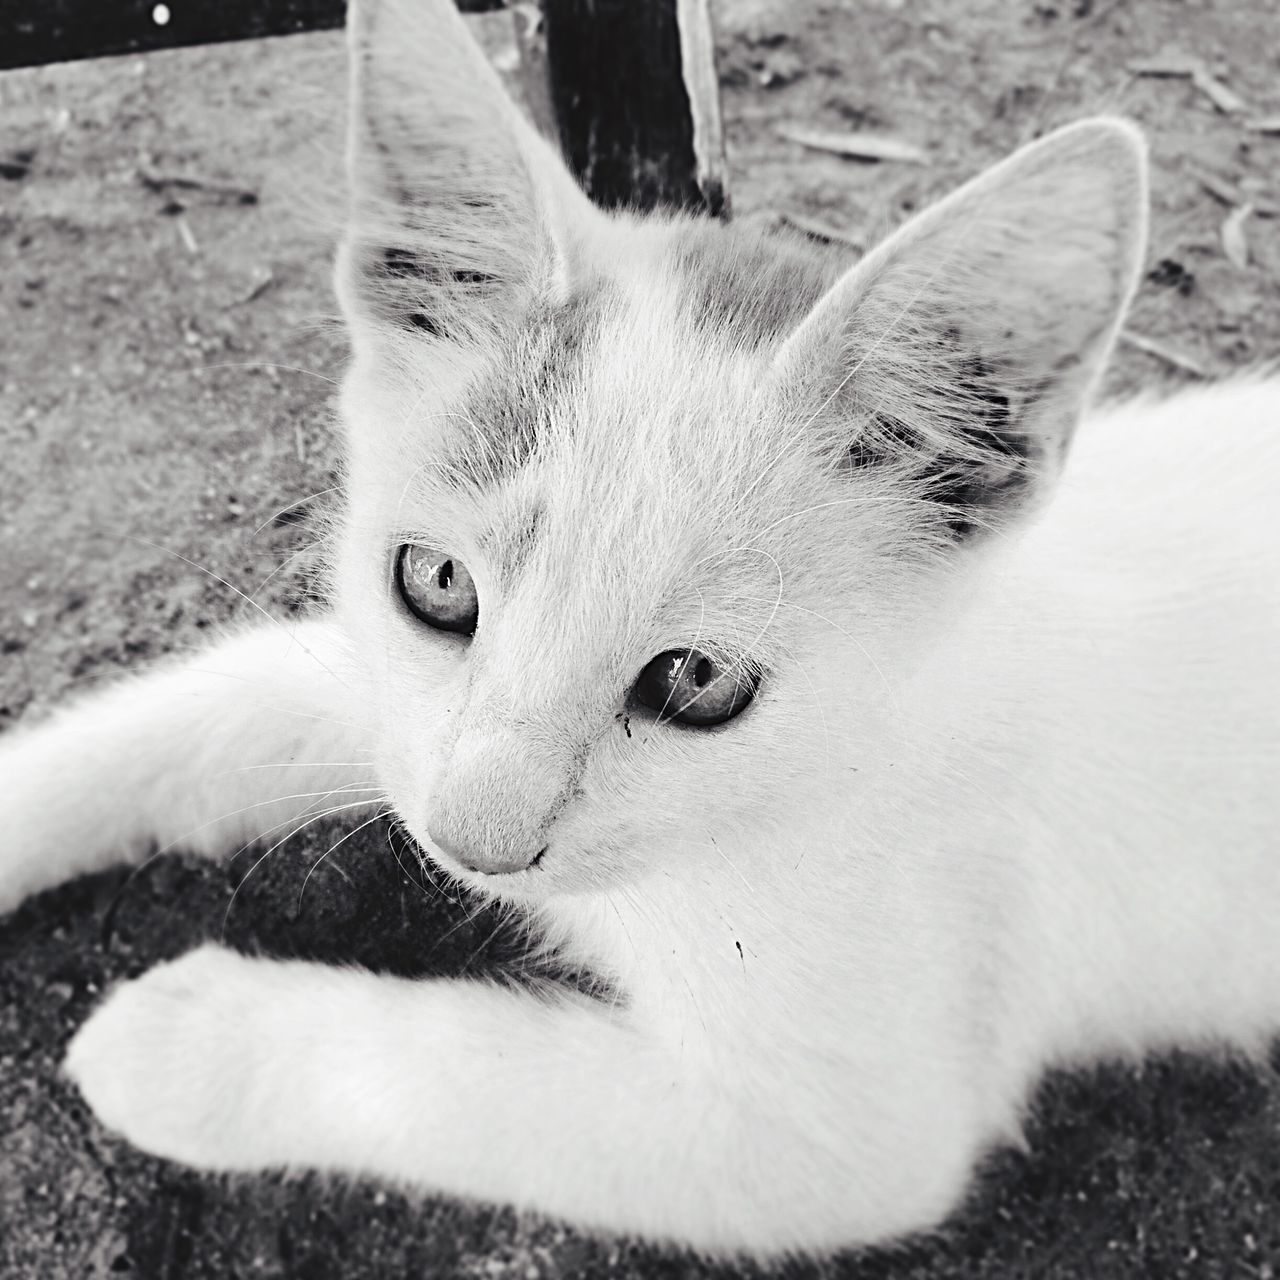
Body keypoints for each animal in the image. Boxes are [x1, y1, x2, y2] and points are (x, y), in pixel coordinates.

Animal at [2, 0, 1280, 1259]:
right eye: (435, 582)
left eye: (698, 680)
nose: (473, 843)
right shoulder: (399, 712)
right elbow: (221, 706)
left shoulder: (846, 1130)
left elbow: (467, 1074)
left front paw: (183, 1041)